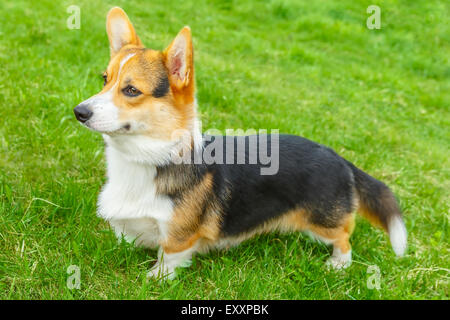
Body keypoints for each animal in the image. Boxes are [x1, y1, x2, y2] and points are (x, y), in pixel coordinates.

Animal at [74, 6, 408, 278]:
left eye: (131, 90)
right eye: (104, 79)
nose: (79, 112)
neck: (151, 158)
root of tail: (338, 157)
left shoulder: (178, 237)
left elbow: (168, 258)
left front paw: (154, 279)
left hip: (323, 222)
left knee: (344, 236)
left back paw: (338, 264)